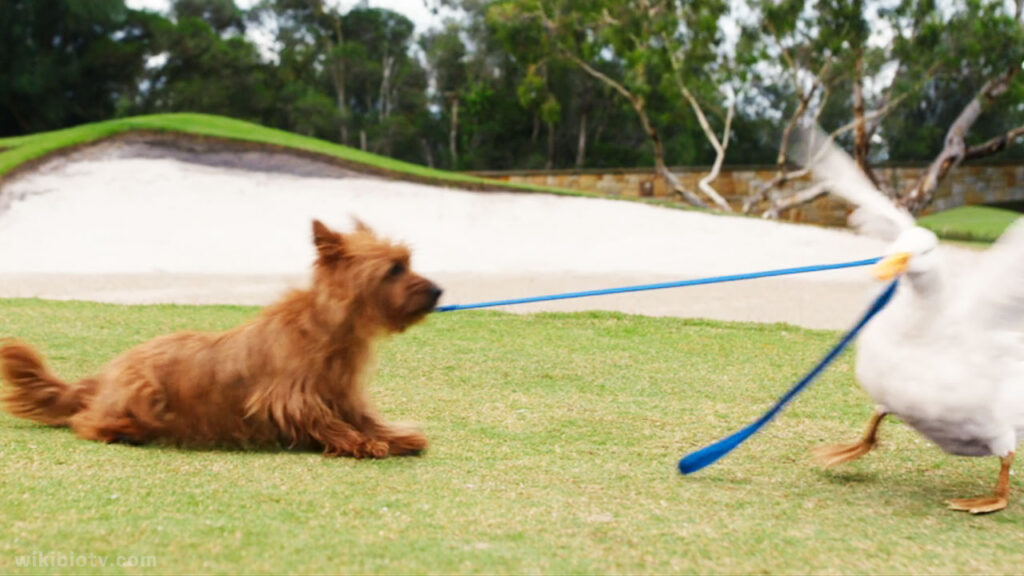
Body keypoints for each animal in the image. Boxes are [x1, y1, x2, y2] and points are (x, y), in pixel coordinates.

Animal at [0, 219, 440, 457]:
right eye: (394, 269)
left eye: (407, 262)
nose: (438, 291)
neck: (327, 329)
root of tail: (101, 377)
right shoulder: (289, 396)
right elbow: (324, 419)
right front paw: (360, 443)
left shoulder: (343, 392)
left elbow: (363, 416)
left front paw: (393, 435)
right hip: (142, 393)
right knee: (84, 420)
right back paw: (121, 429)